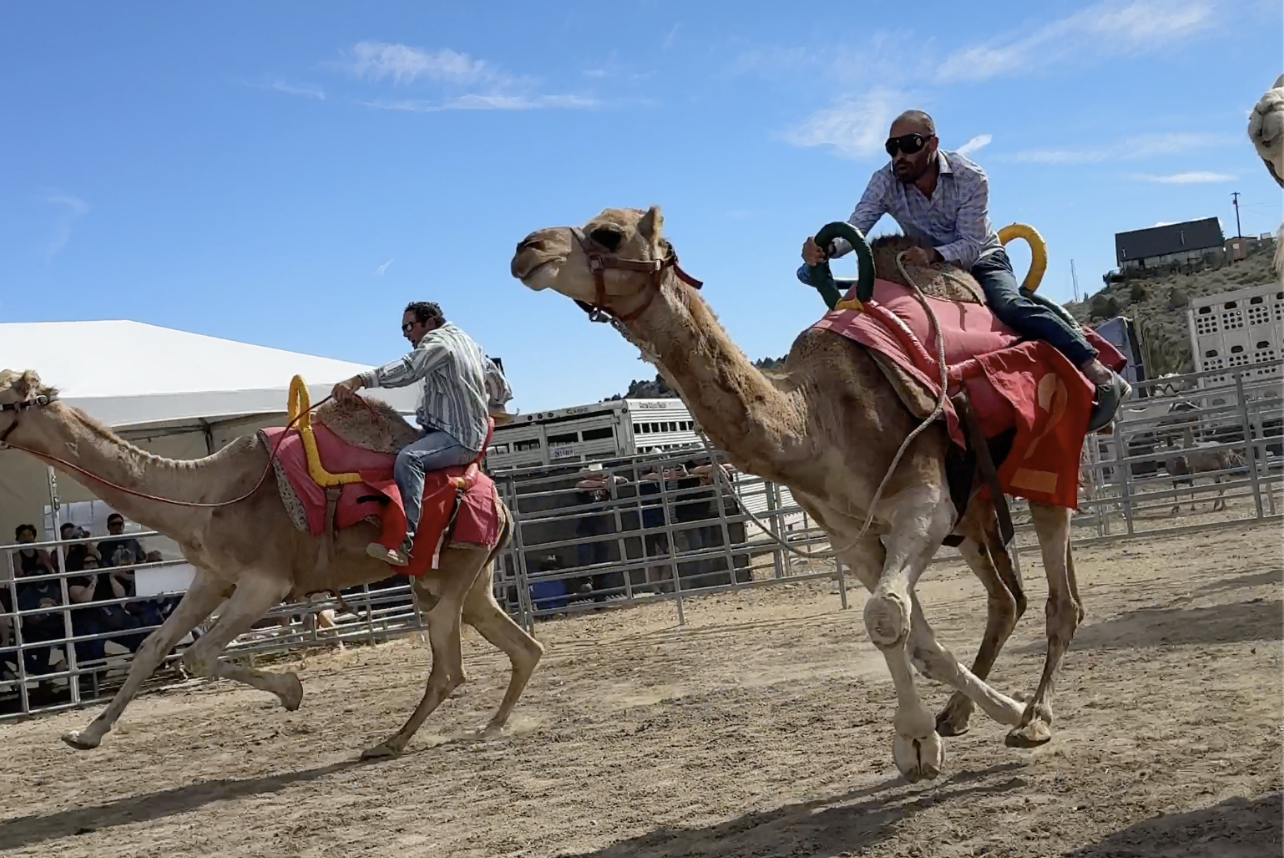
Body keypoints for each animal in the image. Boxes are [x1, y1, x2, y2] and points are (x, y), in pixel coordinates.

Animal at [0, 372, 539, 760]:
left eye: (5, 397)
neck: (203, 496)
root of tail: (501, 504)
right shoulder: (213, 577)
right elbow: (154, 647)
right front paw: (85, 733)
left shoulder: (266, 582)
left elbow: (199, 656)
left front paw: (292, 691)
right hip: (465, 579)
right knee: (521, 646)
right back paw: (486, 727)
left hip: (455, 573)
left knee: (450, 667)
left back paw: (391, 742)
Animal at [508, 205, 1083, 775]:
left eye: (608, 233)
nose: (526, 249)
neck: (815, 420)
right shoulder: (852, 532)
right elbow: (912, 633)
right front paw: (923, 738)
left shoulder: (923, 502)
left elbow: (884, 615)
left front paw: (989, 718)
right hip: (974, 515)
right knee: (1007, 599)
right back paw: (963, 713)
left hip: (1045, 468)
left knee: (1060, 598)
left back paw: (1035, 719)